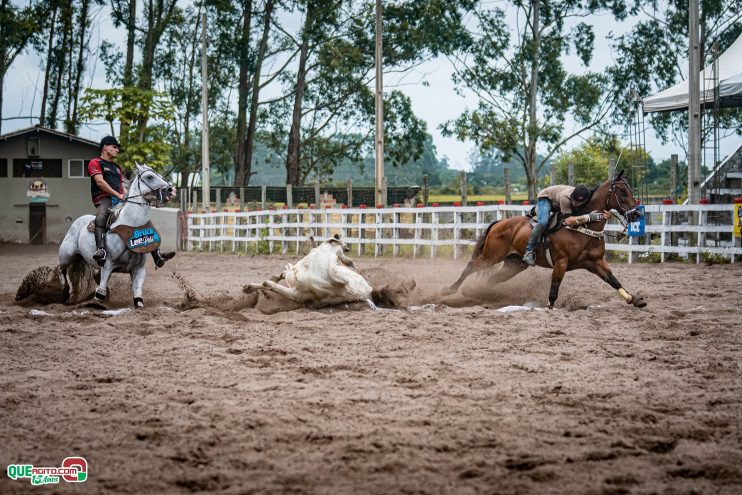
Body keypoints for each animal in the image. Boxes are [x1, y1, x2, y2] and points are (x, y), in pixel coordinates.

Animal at [58, 165, 177, 308]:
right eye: (149, 177)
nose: (171, 190)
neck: (131, 227)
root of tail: (77, 222)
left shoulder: (138, 269)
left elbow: (137, 293)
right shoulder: (108, 264)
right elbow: (102, 288)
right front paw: (97, 302)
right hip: (67, 256)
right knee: (60, 270)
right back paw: (64, 293)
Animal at [243, 234, 372, 308]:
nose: (338, 236)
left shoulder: (297, 295)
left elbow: (269, 284)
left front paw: (251, 288)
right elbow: (276, 277)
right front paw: (250, 288)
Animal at [444, 172, 648, 308]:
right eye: (622, 190)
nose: (636, 214)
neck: (583, 229)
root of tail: (499, 223)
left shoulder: (596, 262)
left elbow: (614, 281)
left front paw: (633, 299)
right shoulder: (561, 263)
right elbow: (554, 289)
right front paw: (550, 307)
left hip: (514, 264)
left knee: (492, 279)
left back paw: (476, 293)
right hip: (491, 256)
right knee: (471, 267)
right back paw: (451, 289)